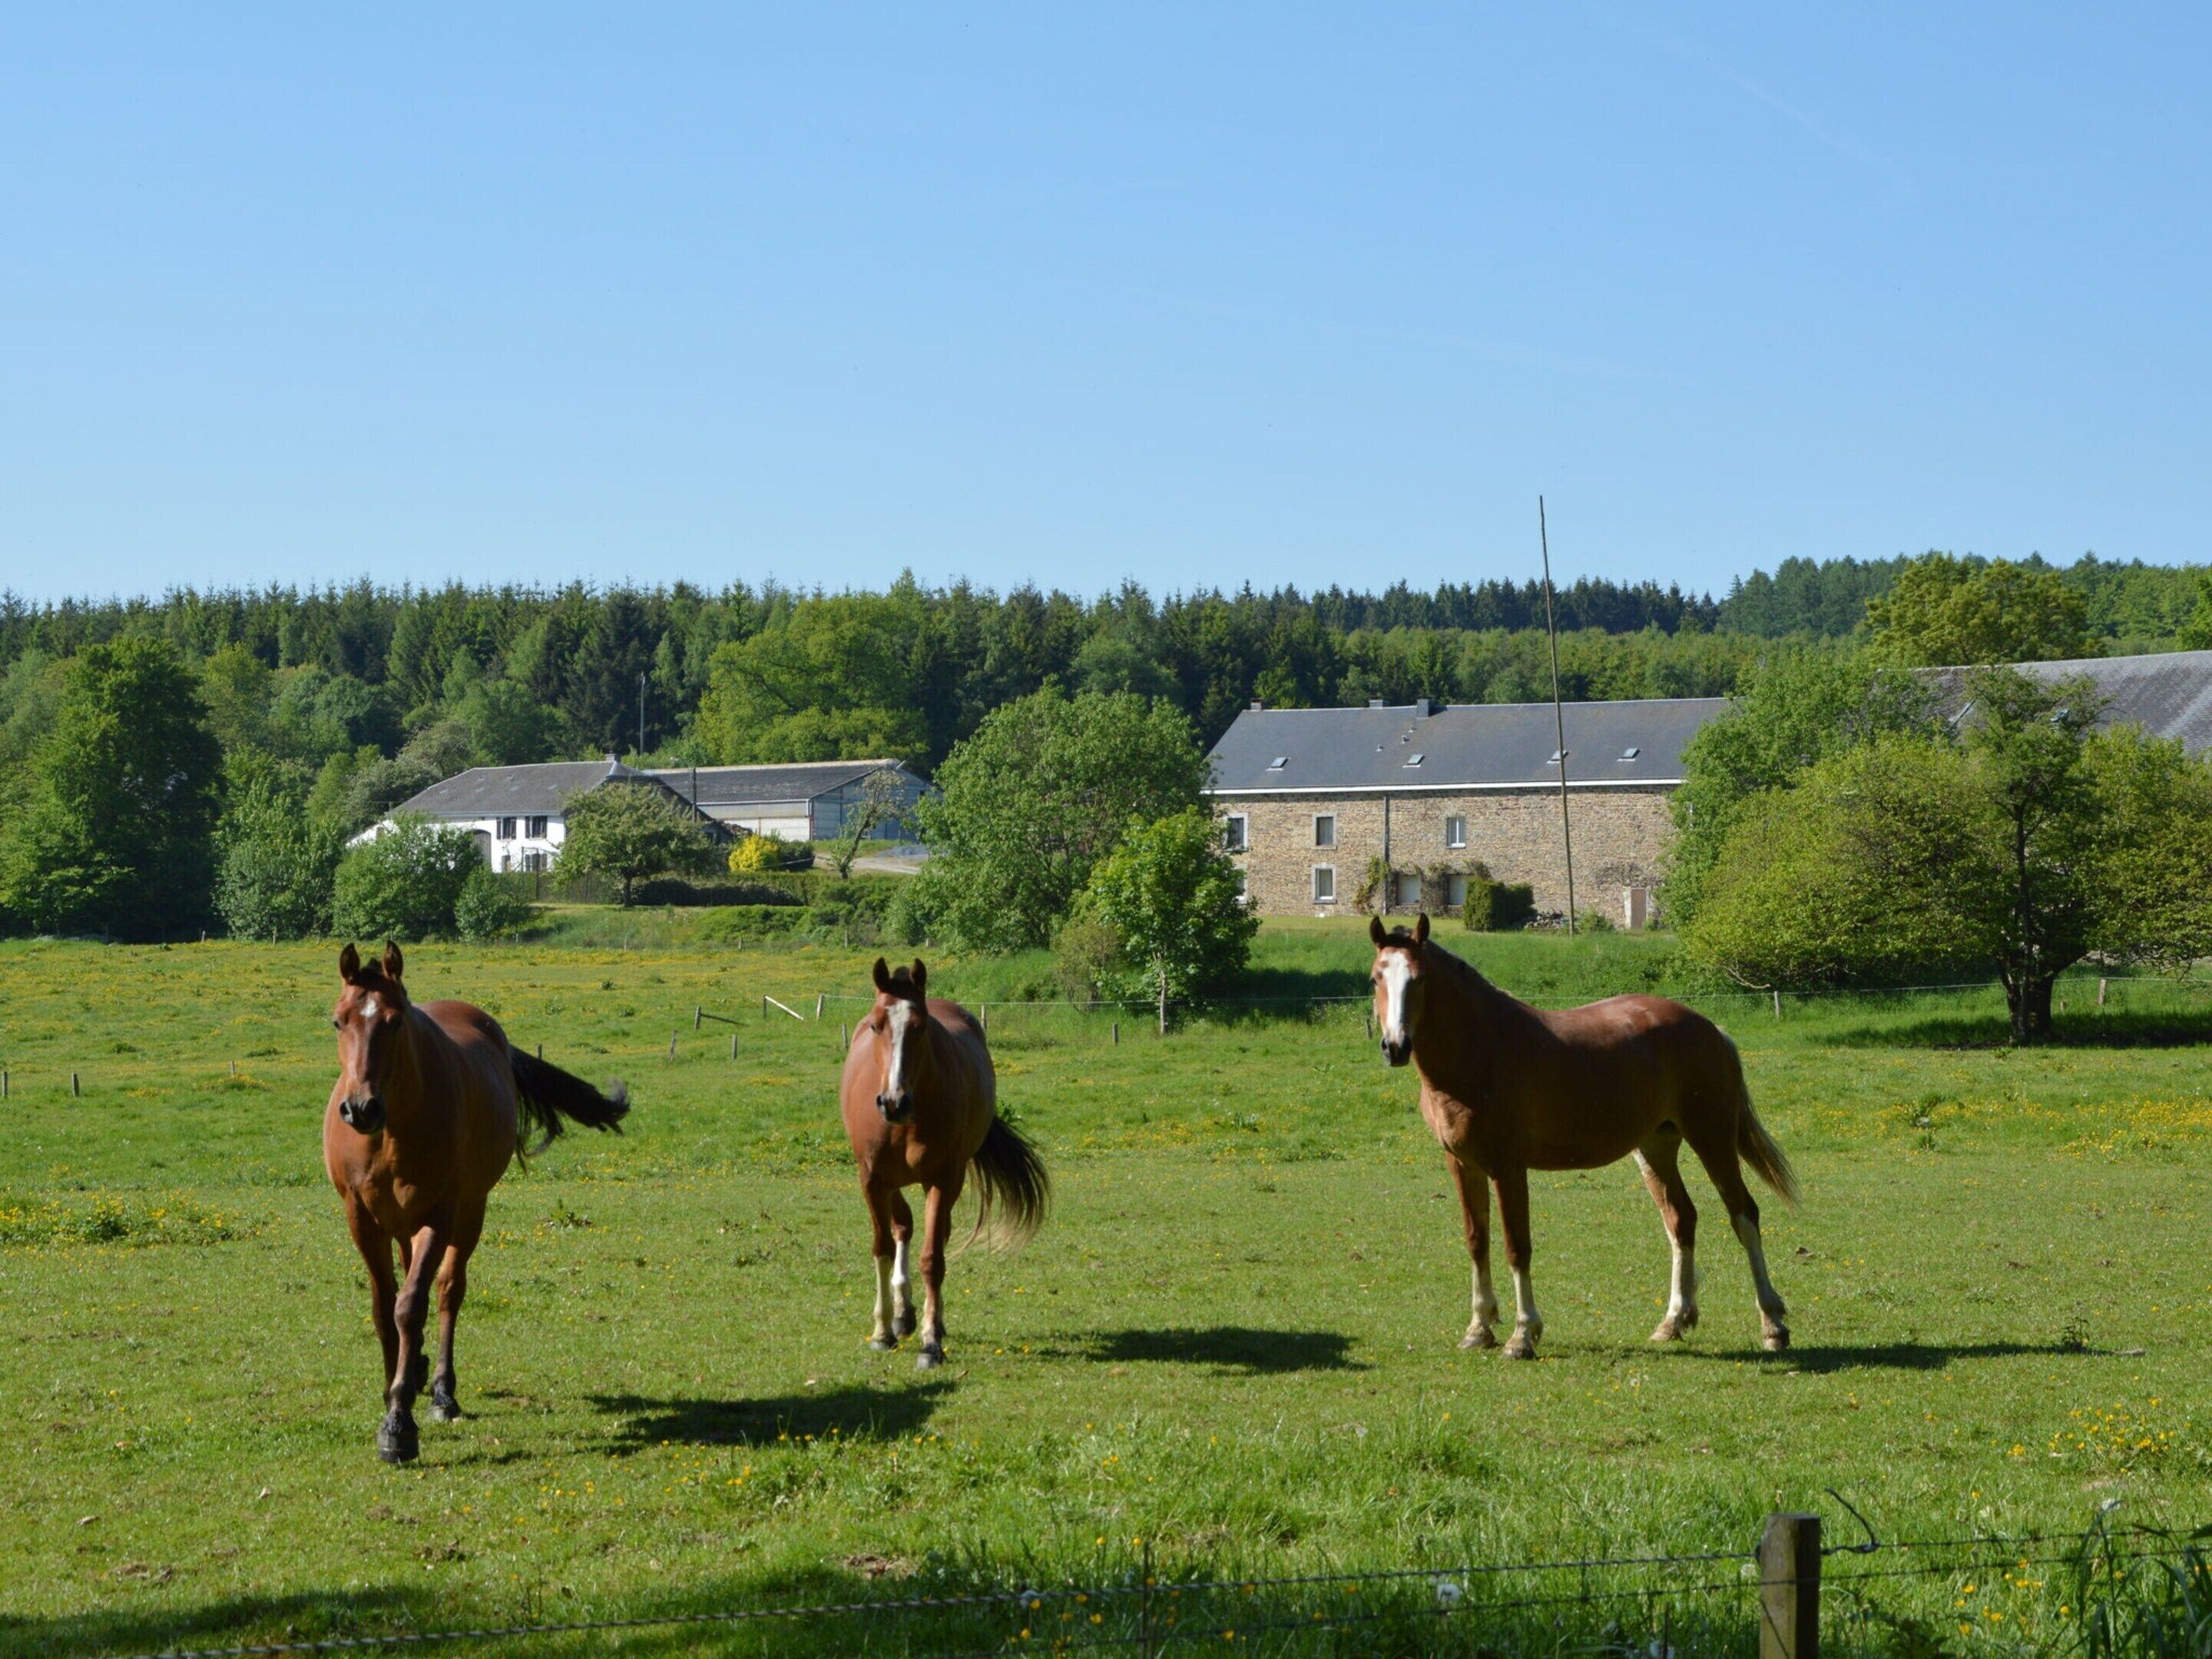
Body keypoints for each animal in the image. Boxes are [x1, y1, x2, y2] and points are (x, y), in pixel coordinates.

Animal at [324, 941, 629, 1462]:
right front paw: (393, 1387)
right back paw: (418, 1370)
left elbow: (410, 1307)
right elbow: (385, 1309)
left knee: (448, 1291)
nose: (361, 1108)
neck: (390, 1132)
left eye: (396, 1021)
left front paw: (398, 1423)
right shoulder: (360, 1218)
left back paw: (442, 1392)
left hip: (469, 1213)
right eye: (339, 1021)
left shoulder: (440, 1215)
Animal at [840, 957, 1049, 1369]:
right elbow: (883, 1247)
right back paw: (903, 1315)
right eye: (876, 1025)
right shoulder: (871, 1179)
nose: (893, 1102)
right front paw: (882, 1332)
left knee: (932, 1235)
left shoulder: (942, 1178)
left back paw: (929, 1321)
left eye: (920, 1027)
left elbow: (932, 1259)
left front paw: (930, 1343)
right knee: (903, 1225)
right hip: (892, 1182)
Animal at [1369, 913, 1799, 1359]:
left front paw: (1523, 1335)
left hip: (1712, 1137)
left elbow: (1516, 1246)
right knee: (1681, 1219)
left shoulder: (1507, 1167)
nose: (1395, 1047)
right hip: (1656, 1146)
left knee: (1744, 1215)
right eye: (1375, 979)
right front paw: (1478, 1329)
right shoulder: (1461, 1163)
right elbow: (1477, 1242)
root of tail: (1709, 1027)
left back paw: (1773, 1325)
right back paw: (1673, 1321)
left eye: (1418, 978)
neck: (1480, 1051)